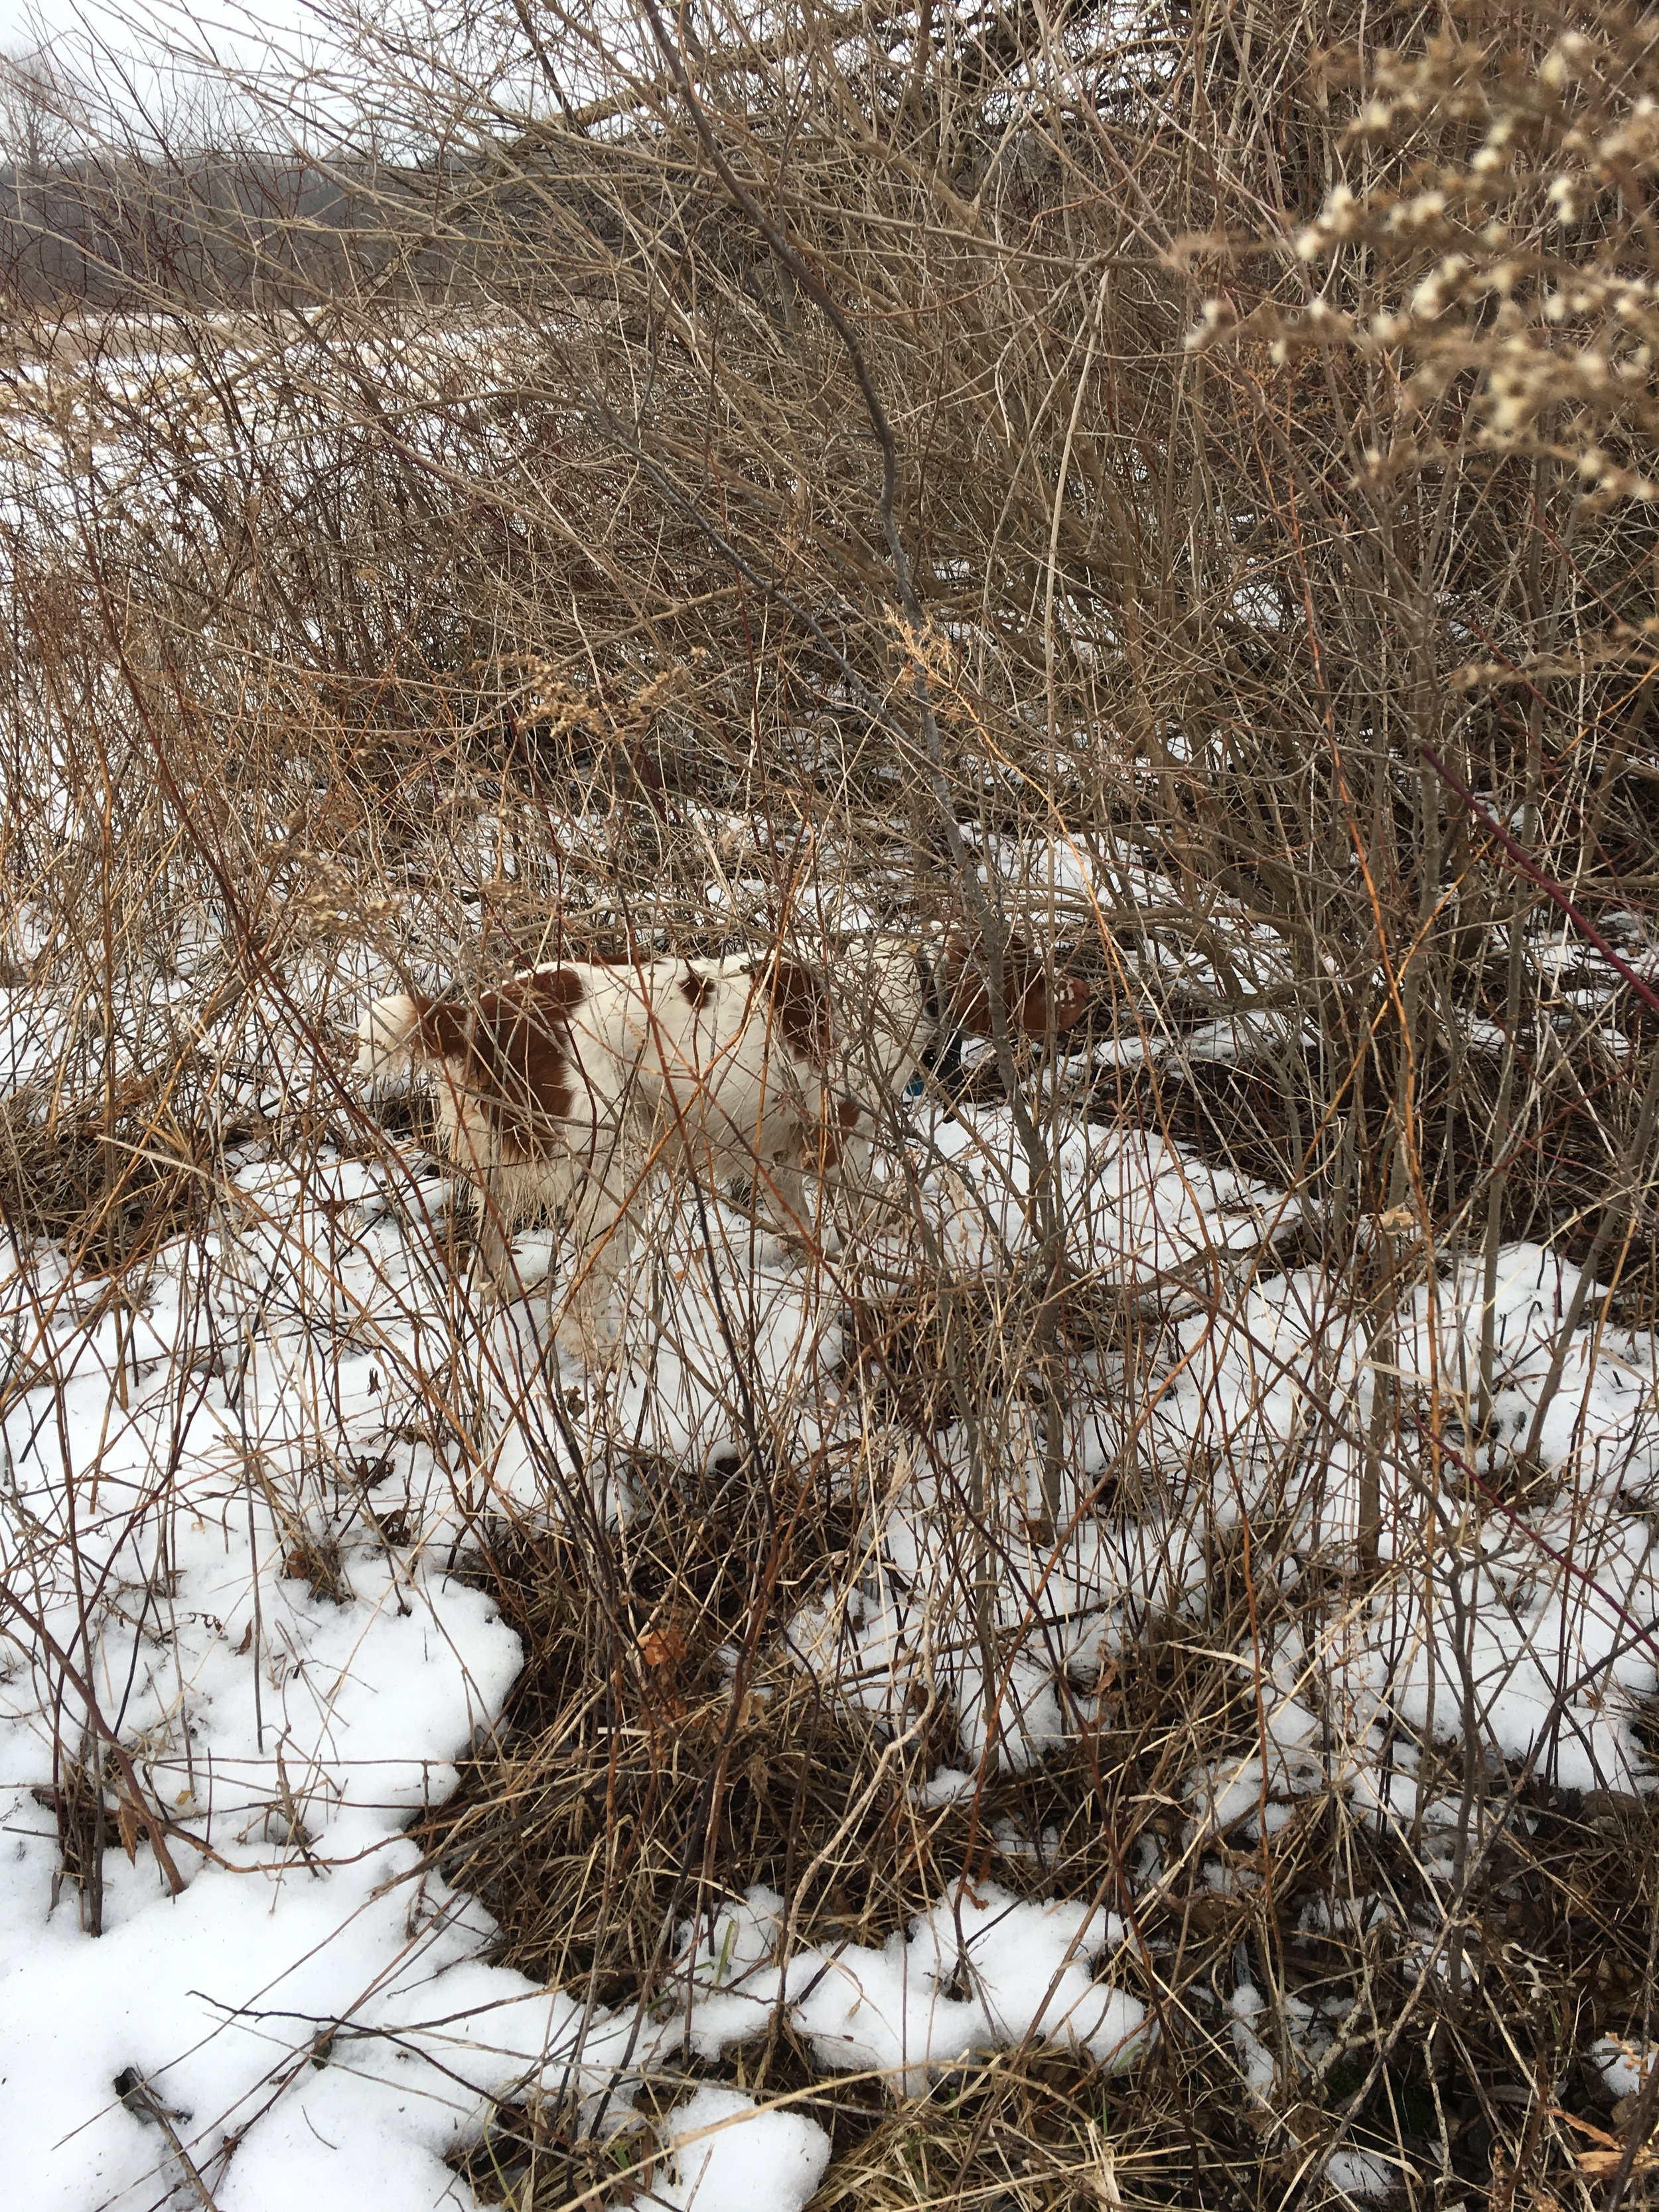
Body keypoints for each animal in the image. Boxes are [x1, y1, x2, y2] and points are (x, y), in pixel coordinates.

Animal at [354, 928, 1092, 1353]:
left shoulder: (780, 1147)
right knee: (578, 1297)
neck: (904, 985)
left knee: (489, 1247)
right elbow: (866, 1203)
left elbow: (801, 1216)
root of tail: (473, 1015)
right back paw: (602, 1358)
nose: (1086, 991)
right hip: (612, 1166)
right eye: (1033, 975)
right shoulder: (839, 1134)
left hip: (508, 1164)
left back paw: (509, 1298)